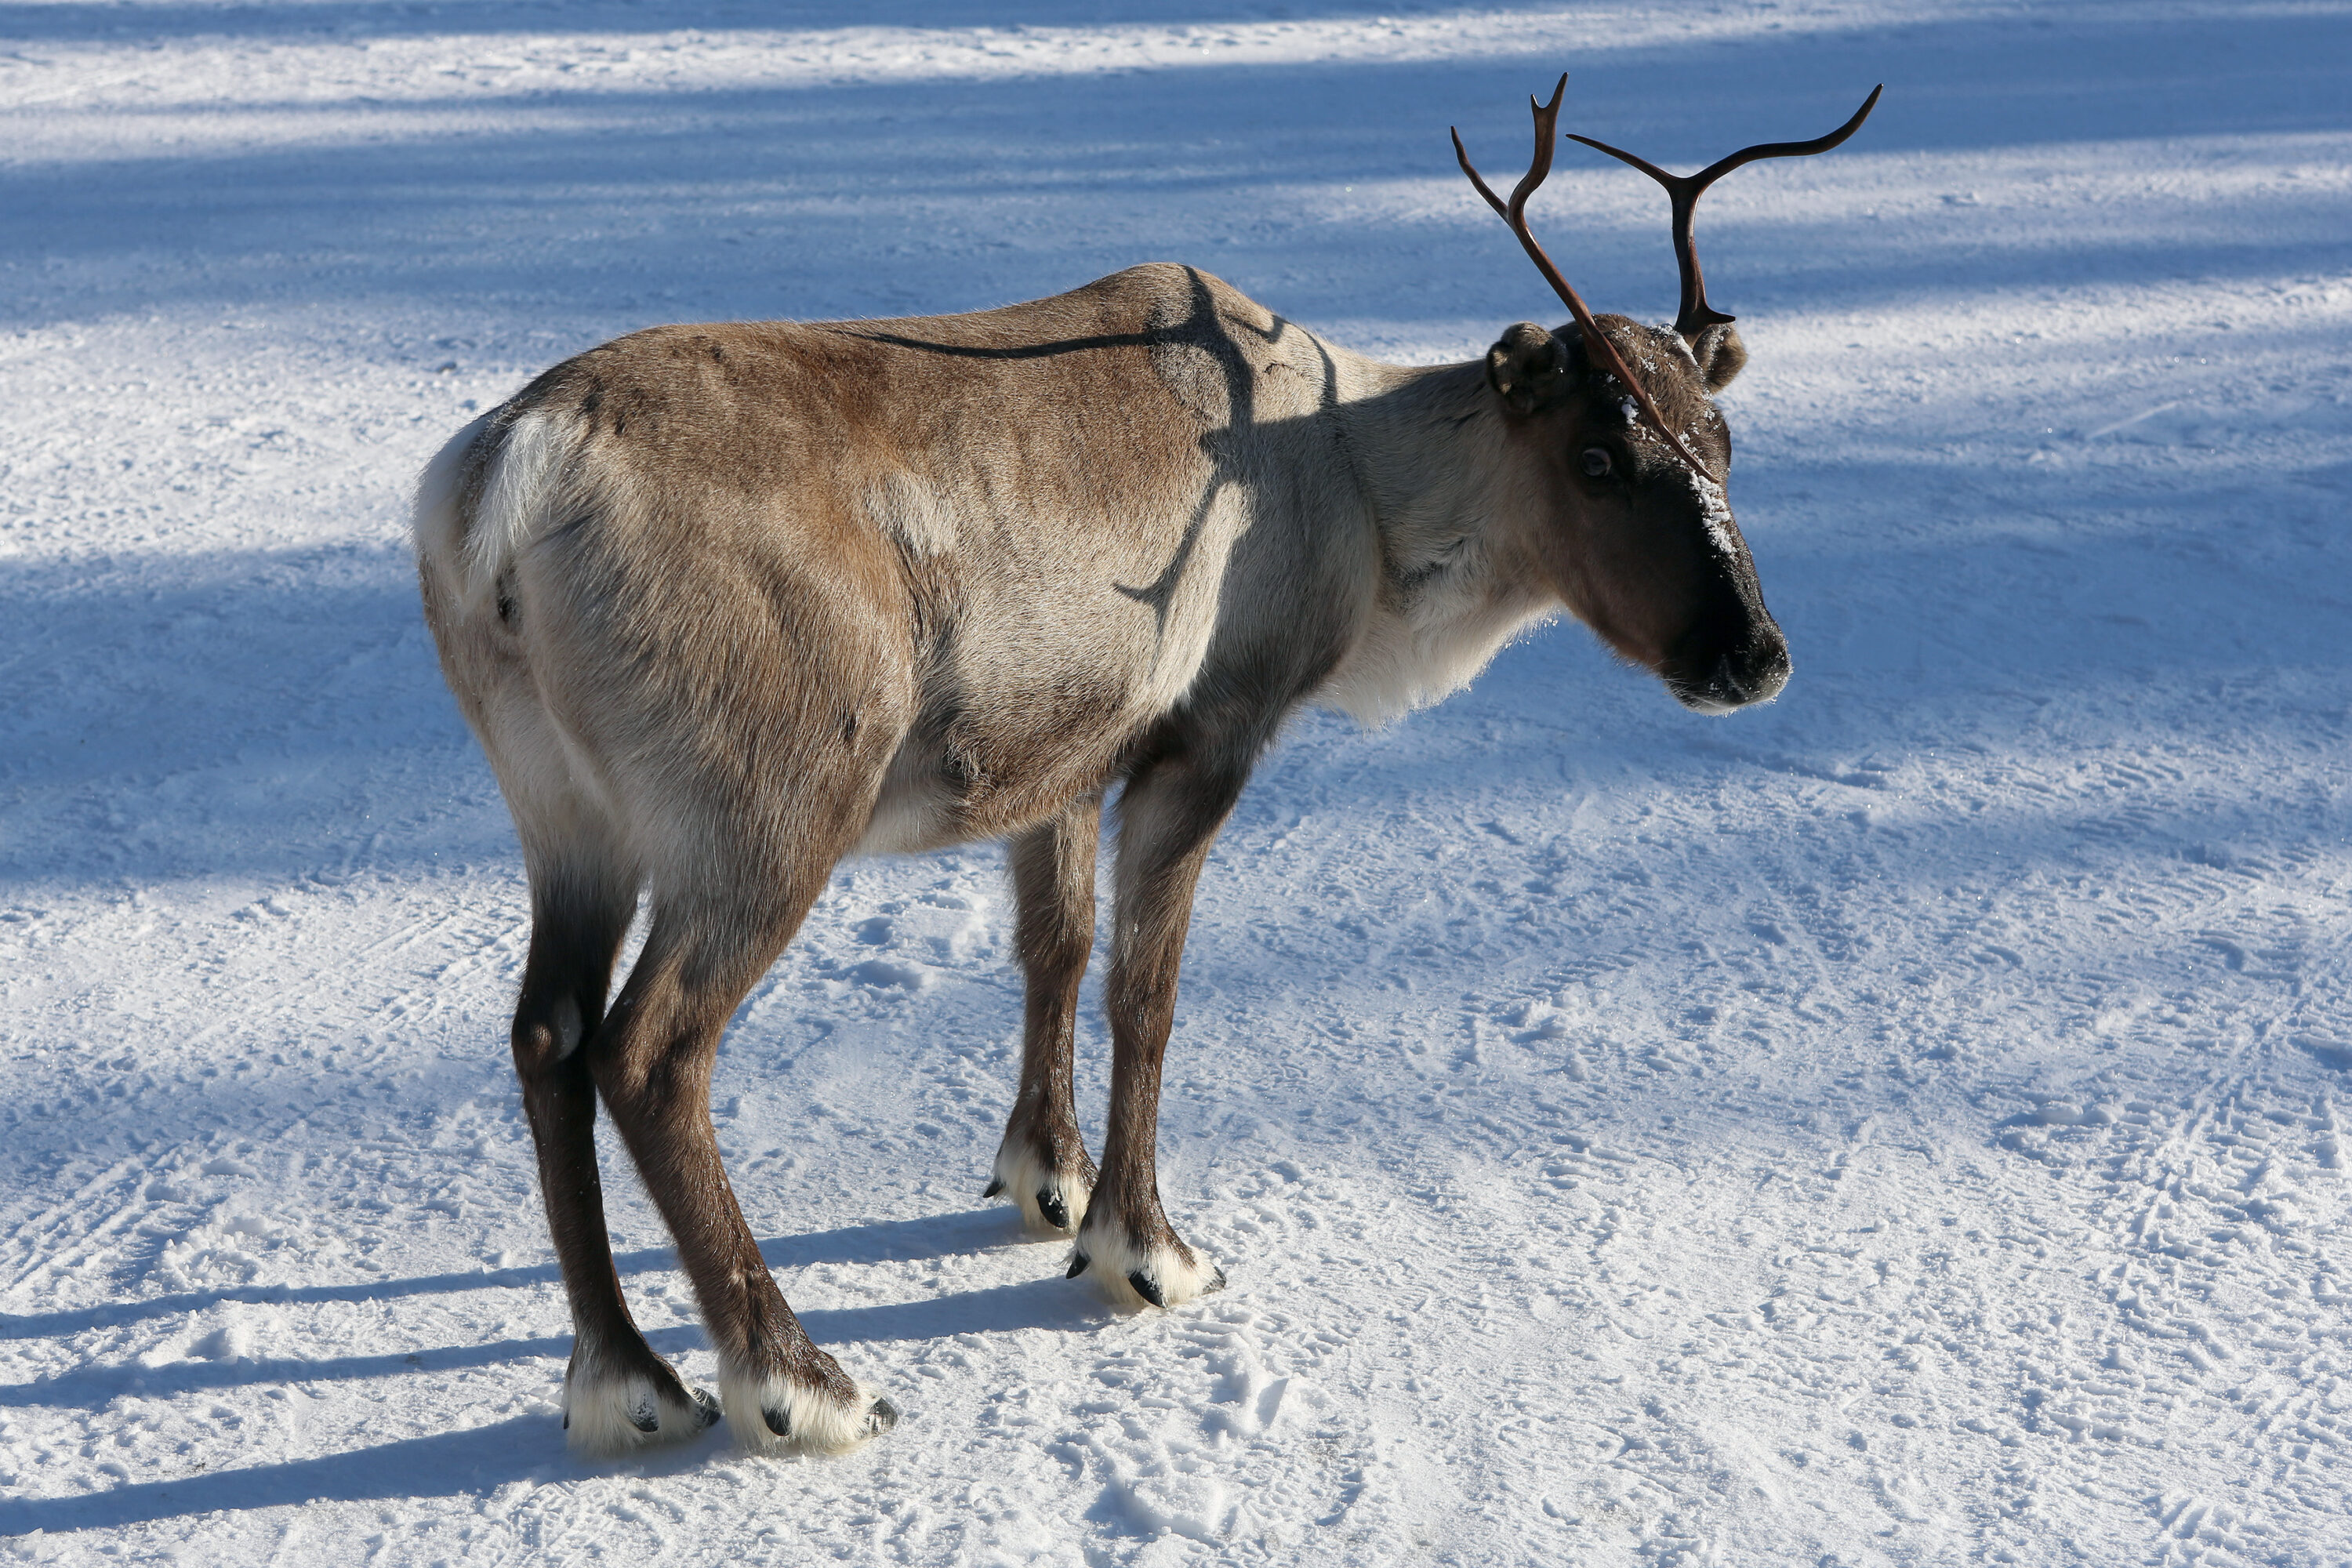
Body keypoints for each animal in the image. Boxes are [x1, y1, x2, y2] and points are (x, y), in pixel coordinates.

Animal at [411, 76, 1879, 1459]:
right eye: (1597, 454)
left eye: (1721, 445)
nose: (1754, 657)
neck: (1360, 496)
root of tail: (506, 483)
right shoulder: (1209, 732)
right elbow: (1147, 992)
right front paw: (1146, 1249)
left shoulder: (1056, 759)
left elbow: (1053, 949)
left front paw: (1044, 1180)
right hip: (764, 810)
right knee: (651, 1050)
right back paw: (798, 1383)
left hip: (564, 813)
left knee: (546, 1032)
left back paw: (625, 1383)